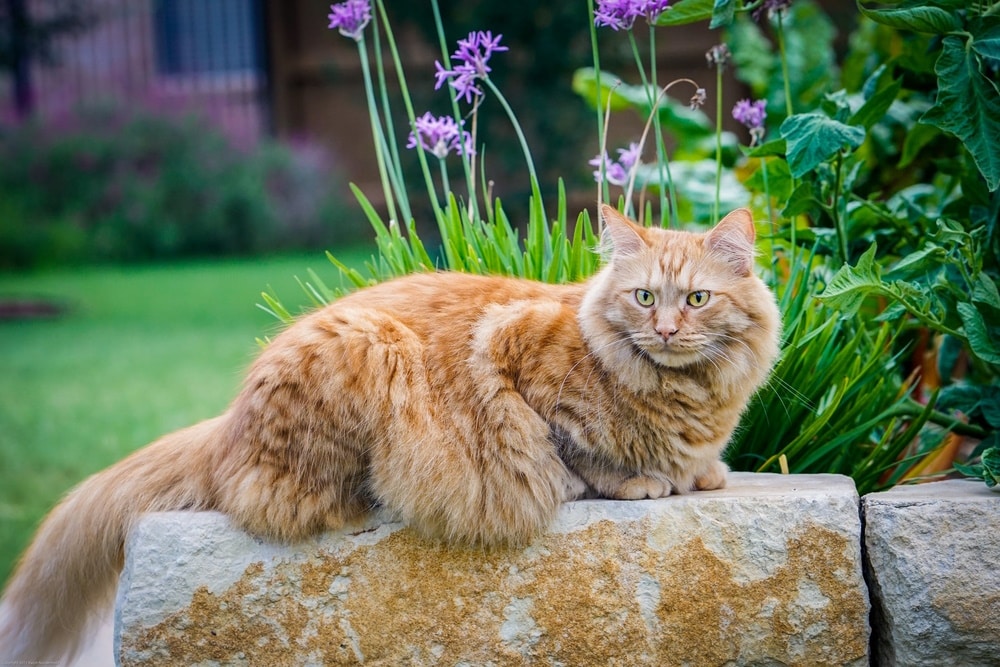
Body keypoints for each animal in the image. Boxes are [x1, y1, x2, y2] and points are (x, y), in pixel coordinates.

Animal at [0, 205, 780, 664]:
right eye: (645, 297)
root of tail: (225, 425)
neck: (682, 394)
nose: (667, 330)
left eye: (697, 299)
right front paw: (639, 478)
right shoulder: (516, 364)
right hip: (373, 348)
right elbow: (576, 451)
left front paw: (702, 471)